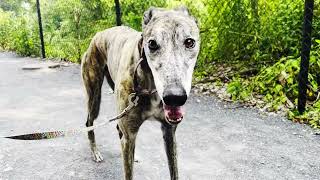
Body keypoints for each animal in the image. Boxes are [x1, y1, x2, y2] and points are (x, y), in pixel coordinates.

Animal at [80, 6, 200, 179]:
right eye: (152, 43)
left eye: (189, 42)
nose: (174, 97)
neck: (150, 86)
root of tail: (98, 35)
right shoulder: (130, 134)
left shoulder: (169, 132)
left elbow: (174, 172)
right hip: (94, 96)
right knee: (89, 122)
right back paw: (95, 152)